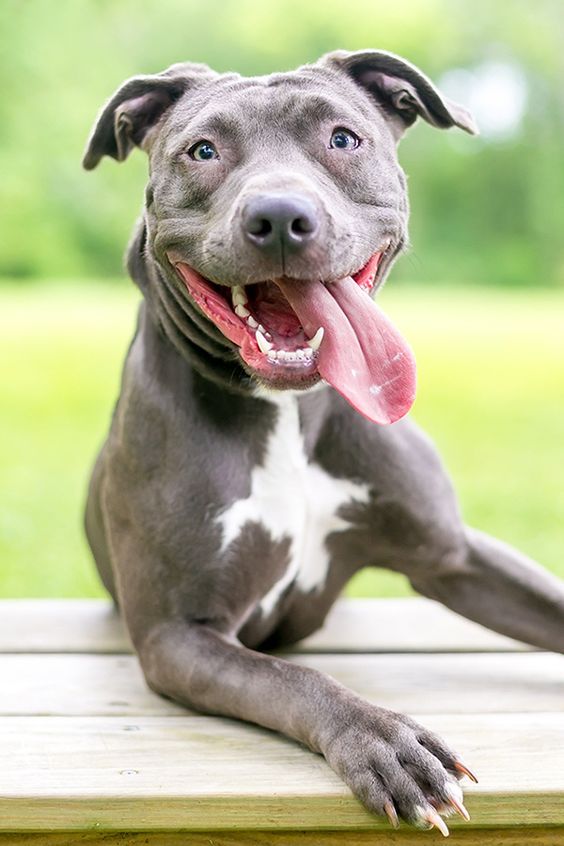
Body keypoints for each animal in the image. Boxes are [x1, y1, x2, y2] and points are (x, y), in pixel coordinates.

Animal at [82, 51, 564, 836]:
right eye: (203, 151)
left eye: (343, 139)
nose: (280, 216)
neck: (287, 410)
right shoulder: (178, 636)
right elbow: (293, 677)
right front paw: (385, 741)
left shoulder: (454, 556)